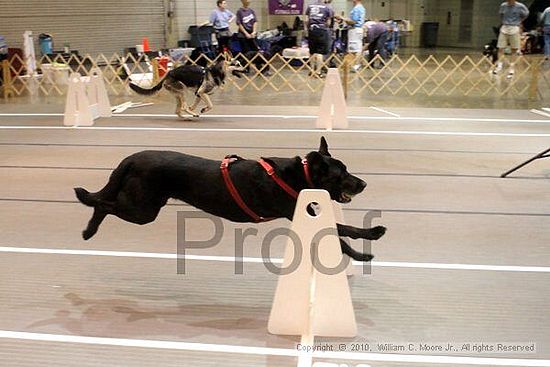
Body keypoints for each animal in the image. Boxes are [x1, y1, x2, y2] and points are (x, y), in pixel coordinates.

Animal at [75, 137, 388, 262]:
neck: (300, 175)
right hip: (143, 209)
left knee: (103, 202)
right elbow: (343, 232)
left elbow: (340, 233)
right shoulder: (299, 212)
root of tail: (131, 158)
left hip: (141, 204)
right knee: (101, 204)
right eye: (341, 173)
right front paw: (369, 243)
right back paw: (89, 230)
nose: (363, 183)